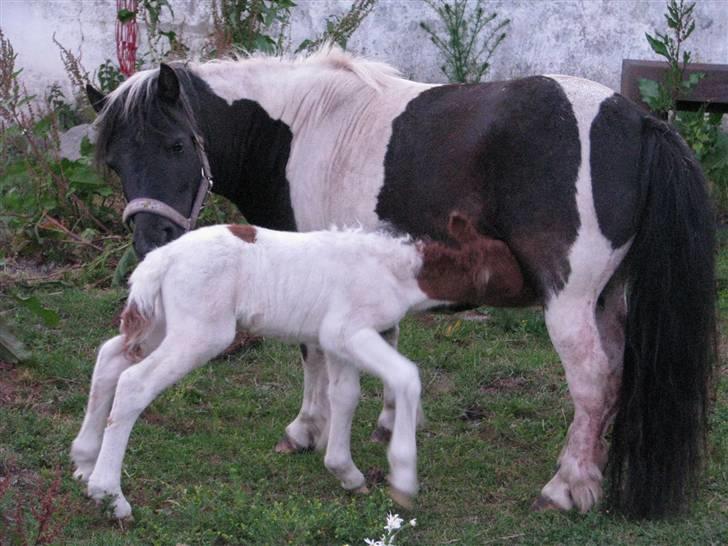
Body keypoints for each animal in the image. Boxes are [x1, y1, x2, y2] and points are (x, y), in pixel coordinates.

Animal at [71, 210, 524, 516]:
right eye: (509, 265)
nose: (536, 285)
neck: (400, 272)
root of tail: (158, 261)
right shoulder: (349, 329)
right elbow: (406, 376)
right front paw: (403, 478)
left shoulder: (335, 340)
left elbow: (345, 395)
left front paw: (346, 473)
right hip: (201, 332)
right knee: (134, 383)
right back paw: (110, 495)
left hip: (163, 323)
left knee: (110, 357)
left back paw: (83, 460)